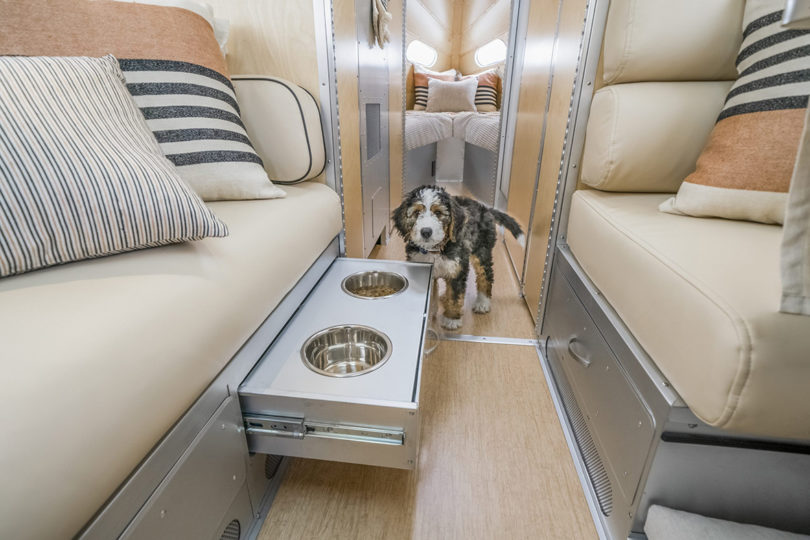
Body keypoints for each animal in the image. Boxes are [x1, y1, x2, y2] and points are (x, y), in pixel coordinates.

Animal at [392, 186, 524, 330]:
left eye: (438, 212)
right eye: (416, 212)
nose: (426, 232)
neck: (435, 250)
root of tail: (486, 209)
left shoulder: (457, 270)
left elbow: (455, 296)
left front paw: (451, 319)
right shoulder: (425, 269)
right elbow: (431, 293)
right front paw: (430, 313)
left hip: (482, 250)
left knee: (486, 275)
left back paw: (482, 302)